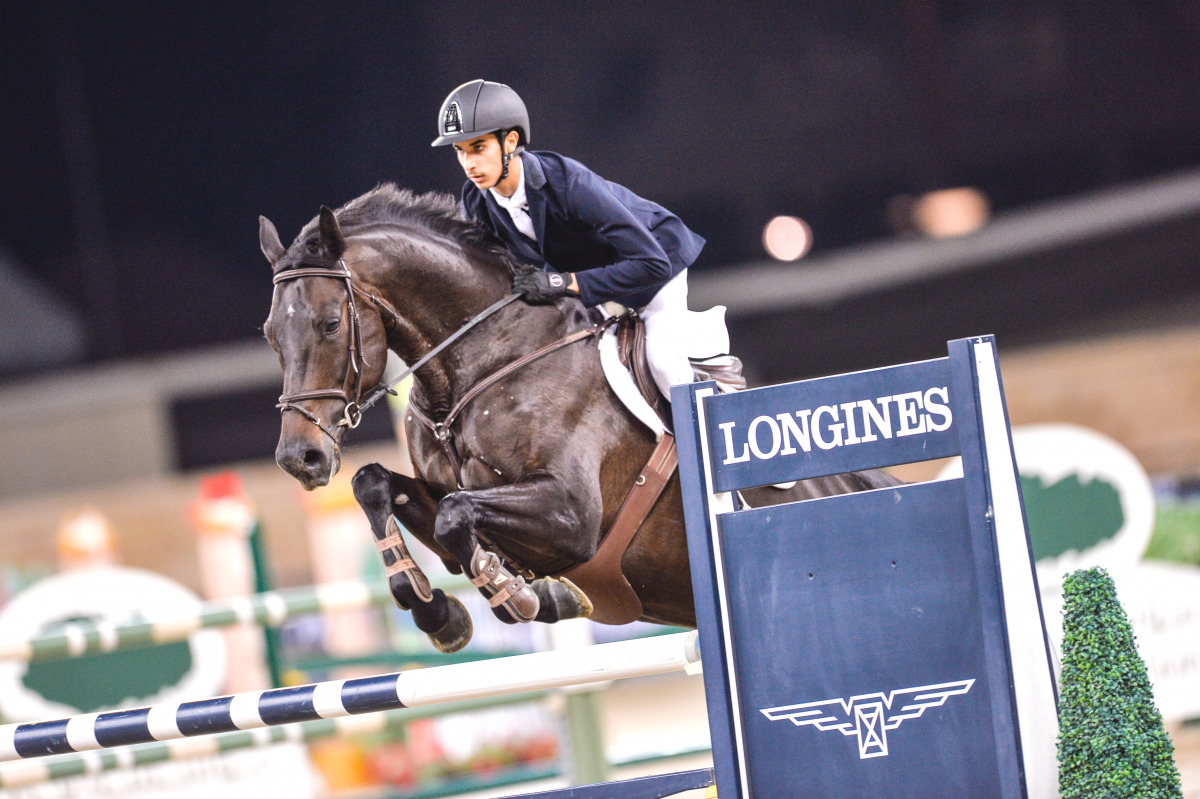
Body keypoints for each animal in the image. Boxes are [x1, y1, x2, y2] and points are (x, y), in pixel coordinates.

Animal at [262, 184, 902, 652]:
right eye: (270, 335)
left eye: (328, 324)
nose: (300, 459)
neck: (481, 365)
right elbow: (379, 487)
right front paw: (442, 613)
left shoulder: (570, 514)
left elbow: (455, 515)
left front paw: (523, 597)